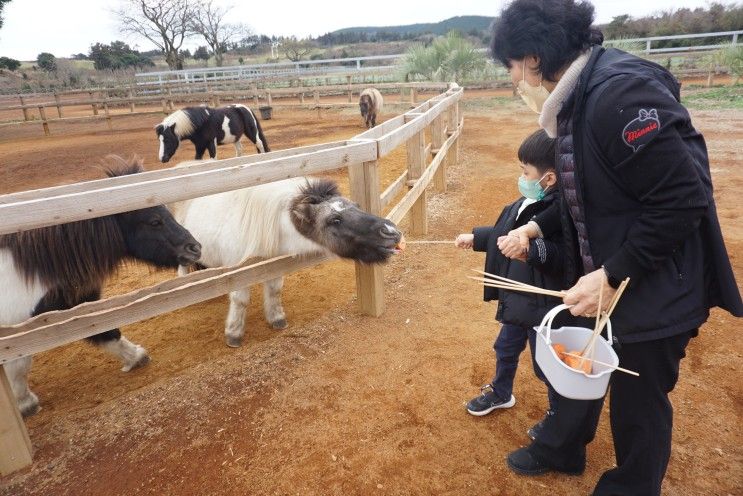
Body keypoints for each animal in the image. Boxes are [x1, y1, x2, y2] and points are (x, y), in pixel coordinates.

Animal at [171, 162, 404, 344]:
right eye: (334, 219)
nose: (391, 232)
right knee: (183, 269)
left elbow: (275, 291)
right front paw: (234, 334)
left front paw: (277, 319)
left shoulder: (273, 265)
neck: (266, 225)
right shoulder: (239, 271)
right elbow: (240, 301)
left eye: (355, 205)